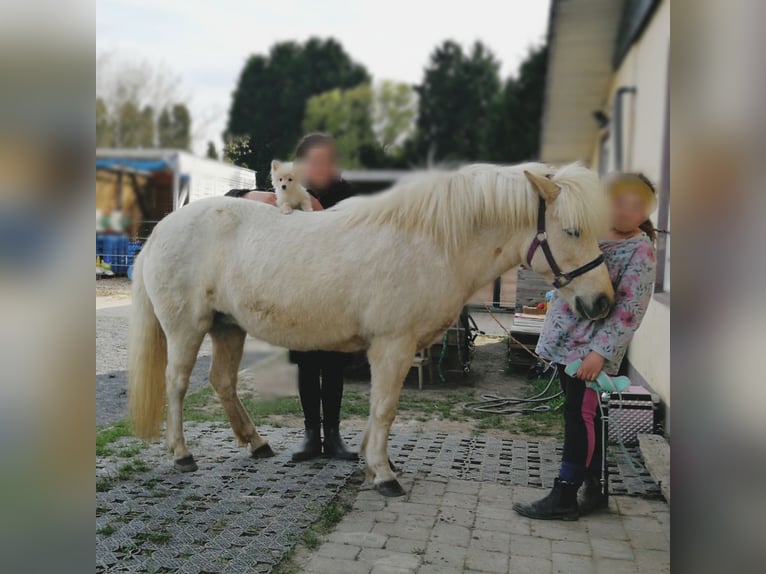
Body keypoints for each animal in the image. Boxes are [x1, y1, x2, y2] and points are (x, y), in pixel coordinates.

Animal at [129, 164, 616, 498]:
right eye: (572, 230)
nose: (603, 302)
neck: (429, 241)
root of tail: (161, 231)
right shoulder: (393, 346)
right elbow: (385, 409)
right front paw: (383, 474)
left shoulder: (395, 350)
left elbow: (378, 410)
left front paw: (369, 458)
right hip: (186, 328)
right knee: (176, 384)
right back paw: (182, 453)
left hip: (228, 327)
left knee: (223, 383)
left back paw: (257, 443)